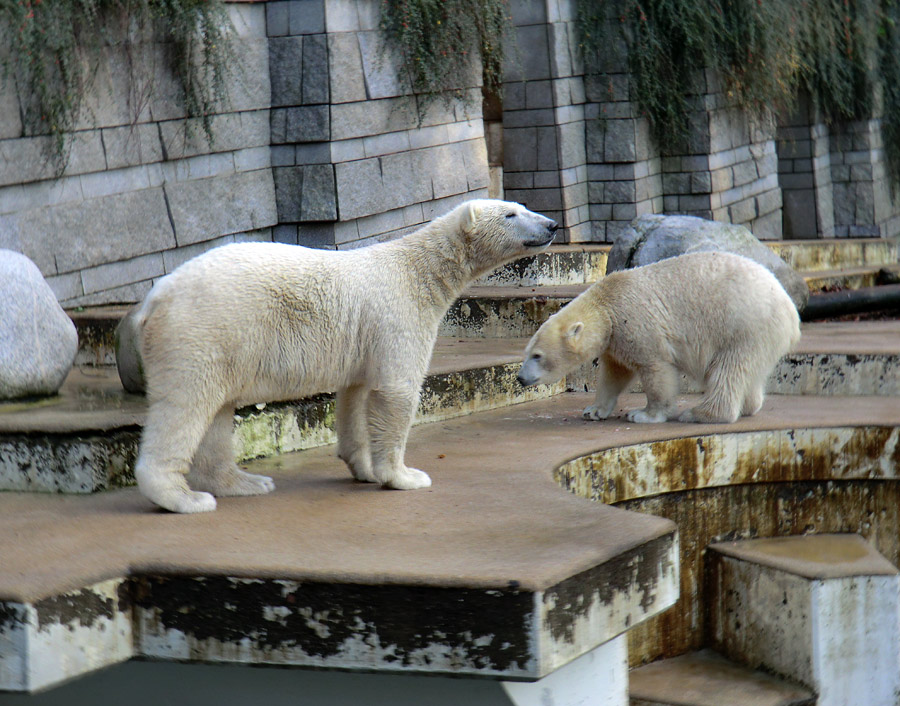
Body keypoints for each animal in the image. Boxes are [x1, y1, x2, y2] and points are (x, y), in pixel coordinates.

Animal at [132, 198, 556, 512]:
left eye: (522, 206)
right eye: (511, 214)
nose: (551, 225)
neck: (420, 271)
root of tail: (153, 300)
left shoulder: (364, 337)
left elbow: (357, 396)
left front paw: (365, 467)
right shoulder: (398, 313)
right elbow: (397, 390)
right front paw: (404, 476)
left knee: (217, 411)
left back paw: (247, 482)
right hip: (203, 332)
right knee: (187, 405)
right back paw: (184, 498)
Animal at [516, 250, 800, 420]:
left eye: (537, 356)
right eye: (527, 352)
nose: (520, 378)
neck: (607, 305)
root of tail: (790, 310)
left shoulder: (637, 322)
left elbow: (655, 369)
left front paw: (643, 414)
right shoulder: (616, 337)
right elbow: (614, 373)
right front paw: (594, 410)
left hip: (743, 325)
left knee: (729, 369)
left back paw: (699, 413)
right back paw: (749, 406)